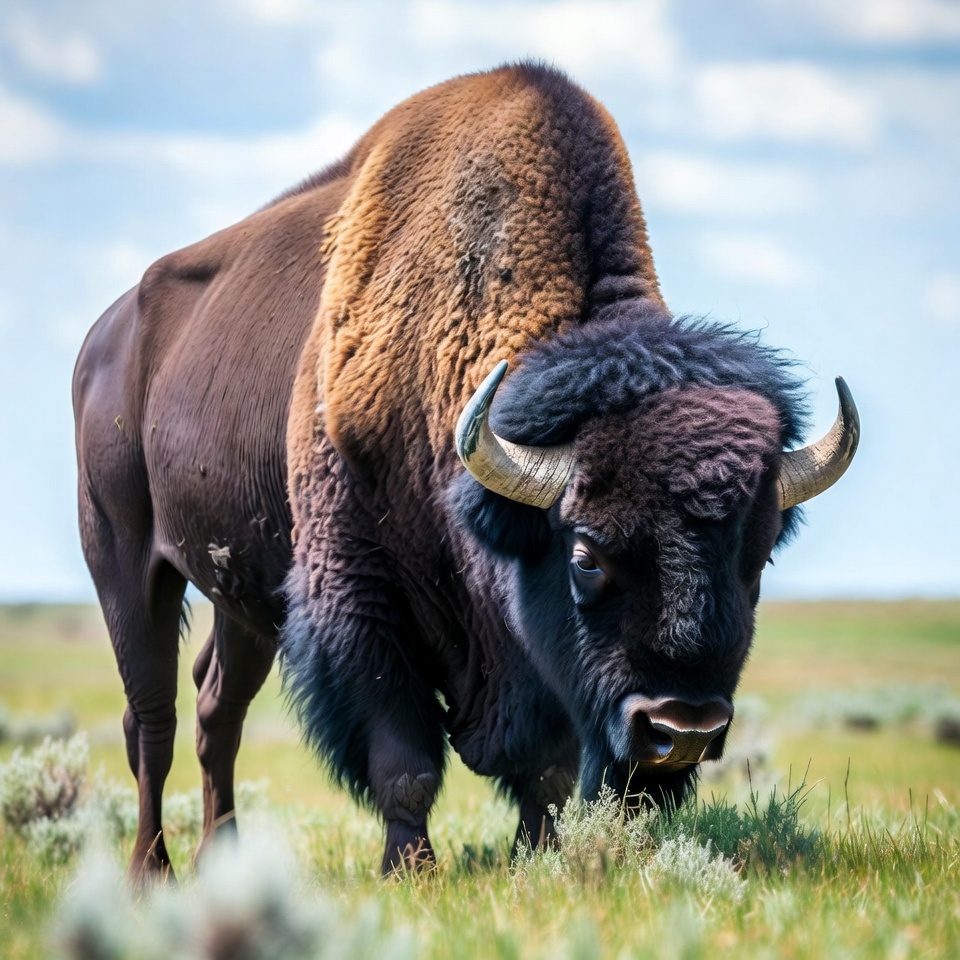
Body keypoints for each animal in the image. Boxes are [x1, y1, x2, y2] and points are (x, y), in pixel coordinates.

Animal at [73, 63, 859, 880]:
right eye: (586, 556)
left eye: (758, 558)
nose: (685, 730)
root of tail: (104, 339)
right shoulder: (361, 601)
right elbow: (405, 759)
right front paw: (410, 867)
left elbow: (546, 768)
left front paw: (536, 854)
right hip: (125, 564)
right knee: (151, 718)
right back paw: (150, 872)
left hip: (243, 598)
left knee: (214, 709)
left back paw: (218, 862)